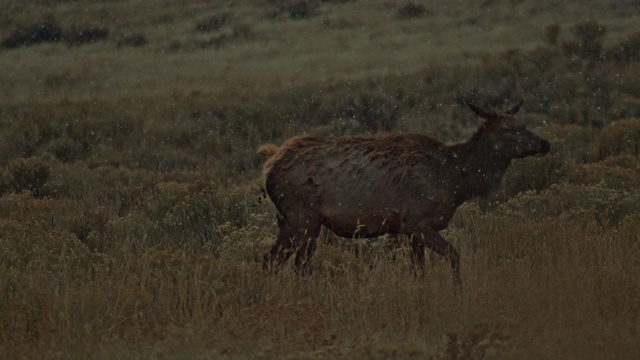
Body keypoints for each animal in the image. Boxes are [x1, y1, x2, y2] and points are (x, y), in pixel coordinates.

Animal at [258, 100, 552, 290]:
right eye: (506, 129)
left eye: (522, 123)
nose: (544, 143)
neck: (454, 181)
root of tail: (270, 163)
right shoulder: (417, 221)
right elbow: (453, 255)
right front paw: (458, 293)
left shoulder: (410, 230)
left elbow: (419, 270)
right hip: (304, 218)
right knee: (299, 266)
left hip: (287, 221)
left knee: (269, 260)